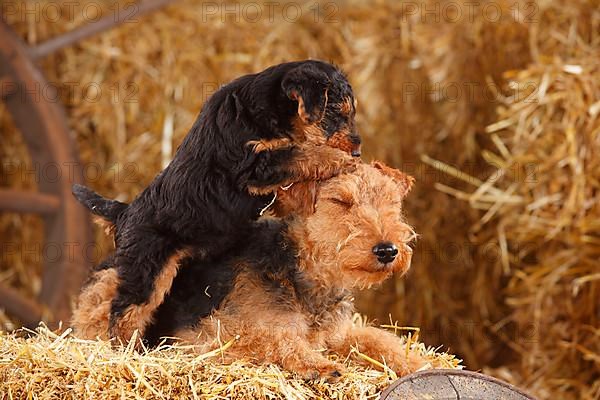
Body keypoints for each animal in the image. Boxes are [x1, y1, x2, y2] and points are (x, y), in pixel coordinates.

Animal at [71, 60, 360, 340]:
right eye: (337, 112)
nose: (357, 147)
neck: (267, 107)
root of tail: (124, 212)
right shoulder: (253, 165)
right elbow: (297, 153)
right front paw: (339, 159)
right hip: (147, 267)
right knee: (124, 309)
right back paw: (125, 347)